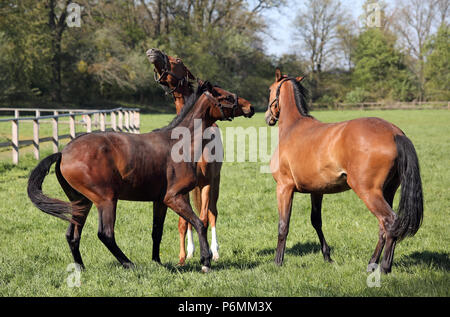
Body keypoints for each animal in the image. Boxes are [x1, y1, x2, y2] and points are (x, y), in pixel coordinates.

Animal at [27, 80, 253, 270]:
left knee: (72, 235)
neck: (178, 144)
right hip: (106, 200)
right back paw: (129, 264)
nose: (250, 107)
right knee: (105, 234)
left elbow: (157, 231)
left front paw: (158, 262)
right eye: (225, 96)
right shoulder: (174, 197)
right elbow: (199, 223)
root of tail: (63, 152)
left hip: (81, 202)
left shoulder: (160, 201)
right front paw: (205, 261)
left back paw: (81, 268)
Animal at [147, 47, 224, 264]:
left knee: (213, 213)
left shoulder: (206, 181)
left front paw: (208, 254)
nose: (153, 51)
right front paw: (184, 255)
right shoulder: (180, 187)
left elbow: (204, 218)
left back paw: (215, 251)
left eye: (179, 60)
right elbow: (184, 222)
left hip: (215, 182)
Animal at [264, 68, 422, 272]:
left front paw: (278, 261)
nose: (268, 117)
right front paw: (327, 257)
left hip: (368, 191)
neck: (293, 127)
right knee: (385, 227)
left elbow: (283, 225)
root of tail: (395, 133)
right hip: (388, 191)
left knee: (390, 221)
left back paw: (385, 267)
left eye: (269, 90)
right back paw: (372, 263)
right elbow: (316, 221)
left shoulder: (284, 188)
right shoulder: (317, 191)